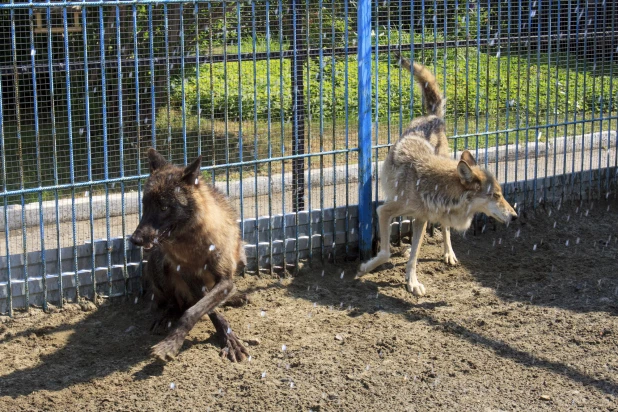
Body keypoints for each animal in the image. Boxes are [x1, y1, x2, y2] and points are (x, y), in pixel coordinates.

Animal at [129, 148, 248, 360]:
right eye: (145, 205)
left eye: (164, 207)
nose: (135, 239)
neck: (192, 243)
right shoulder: (189, 276)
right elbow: (204, 310)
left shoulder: (225, 279)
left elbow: (195, 310)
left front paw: (171, 344)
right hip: (158, 264)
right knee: (173, 303)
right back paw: (166, 316)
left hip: (242, 257)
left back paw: (235, 296)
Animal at [356, 52, 516, 296]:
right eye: (496, 196)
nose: (515, 216)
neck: (431, 187)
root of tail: (434, 117)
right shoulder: (384, 211)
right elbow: (385, 252)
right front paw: (365, 267)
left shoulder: (422, 218)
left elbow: (415, 255)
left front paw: (412, 282)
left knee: (445, 229)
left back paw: (449, 254)